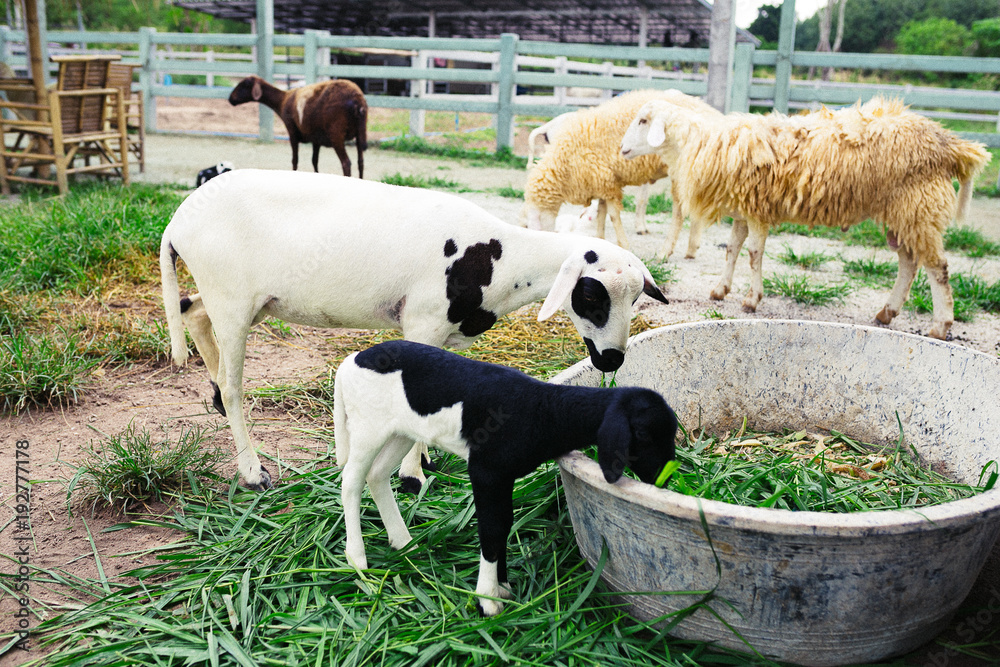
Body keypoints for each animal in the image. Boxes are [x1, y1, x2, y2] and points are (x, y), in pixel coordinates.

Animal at [160, 168, 669, 492]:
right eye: (590, 295)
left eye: (637, 298)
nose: (612, 359)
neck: (503, 260)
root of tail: (177, 220)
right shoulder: (421, 323)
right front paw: (411, 475)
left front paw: (421, 460)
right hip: (232, 295)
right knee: (233, 385)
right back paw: (251, 471)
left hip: (247, 300)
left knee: (193, 312)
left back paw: (212, 392)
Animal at [228, 75, 367, 178]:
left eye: (244, 85)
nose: (230, 99)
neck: (282, 100)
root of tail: (357, 99)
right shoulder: (316, 139)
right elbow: (314, 161)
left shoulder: (292, 132)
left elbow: (295, 160)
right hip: (360, 133)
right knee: (360, 162)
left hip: (336, 134)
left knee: (346, 163)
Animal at [334, 339, 677, 616]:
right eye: (643, 434)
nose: (664, 479)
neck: (543, 411)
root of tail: (352, 360)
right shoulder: (486, 471)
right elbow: (491, 529)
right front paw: (488, 600)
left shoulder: (505, 477)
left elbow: (506, 523)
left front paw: (503, 587)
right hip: (367, 427)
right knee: (351, 481)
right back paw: (357, 558)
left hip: (400, 431)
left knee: (377, 476)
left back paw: (404, 543)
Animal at [523, 89, 721, 252]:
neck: (564, 163)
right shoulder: (602, 180)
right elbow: (601, 212)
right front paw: (600, 238)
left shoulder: (606, 181)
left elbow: (612, 215)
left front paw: (624, 245)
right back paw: (691, 248)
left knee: (679, 212)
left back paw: (666, 252)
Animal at [619, 97, 991, 340]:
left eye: (643, 121)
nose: (621, 149)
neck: (701, 143)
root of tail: (952, 146)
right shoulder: (744, 209)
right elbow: (732, 250)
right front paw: (720, 289)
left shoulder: (757, 209)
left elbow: (753, 254)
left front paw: (751, 300)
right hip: (902, 213)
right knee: (909, 263)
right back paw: (887, 312)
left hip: (919, 207)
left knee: (937, 268)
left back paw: (940, 325)